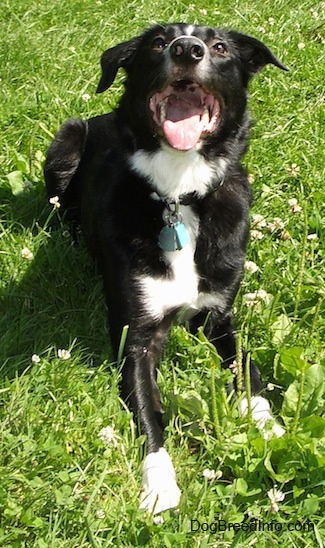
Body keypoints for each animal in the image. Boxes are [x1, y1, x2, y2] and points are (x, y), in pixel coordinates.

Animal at [43, 23, 286, 516]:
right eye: (158, 43)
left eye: (219, 47)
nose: (186, 50)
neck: (177, 191)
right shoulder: (136, 337)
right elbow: (149, 413)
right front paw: (159, 484)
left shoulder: (218, 317)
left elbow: (247, 371)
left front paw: (268, 426)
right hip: (67, 139)